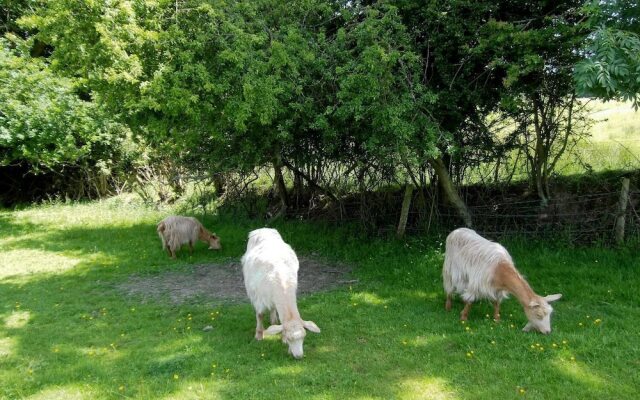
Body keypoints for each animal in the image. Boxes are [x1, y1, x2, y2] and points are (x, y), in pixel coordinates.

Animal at [240, 228, 320, 360]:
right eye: (290, 338)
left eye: (304, 337)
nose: (299, 356)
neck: (281, 280)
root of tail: (263, 229)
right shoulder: (259, 298)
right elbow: (260, 315)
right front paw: (259, 335)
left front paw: (281, 337)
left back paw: (273, 320)